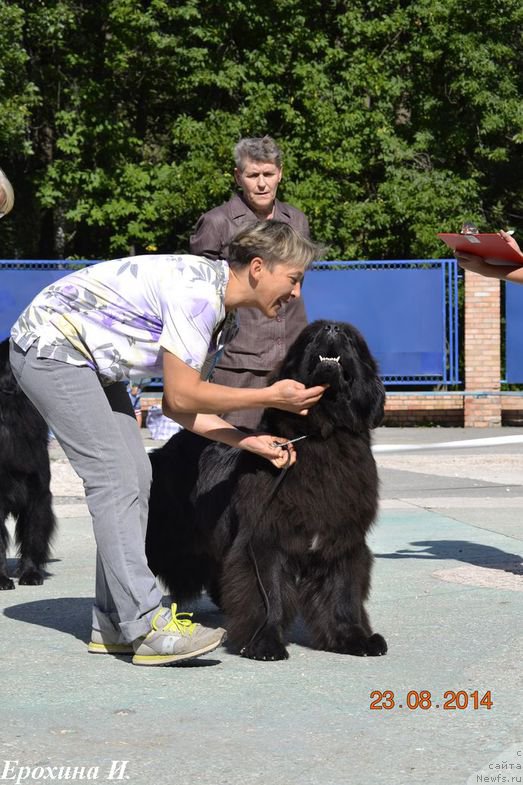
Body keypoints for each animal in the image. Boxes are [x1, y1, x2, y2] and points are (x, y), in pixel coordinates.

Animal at [147, 322, 388, 660]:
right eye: (310, 336)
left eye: (352, 340)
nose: (332, 327)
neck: (321, 437)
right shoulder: (265, 539)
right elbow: (268, 593)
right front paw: (263, 641)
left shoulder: (342, 539)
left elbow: (343, 592)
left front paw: (353, 638)